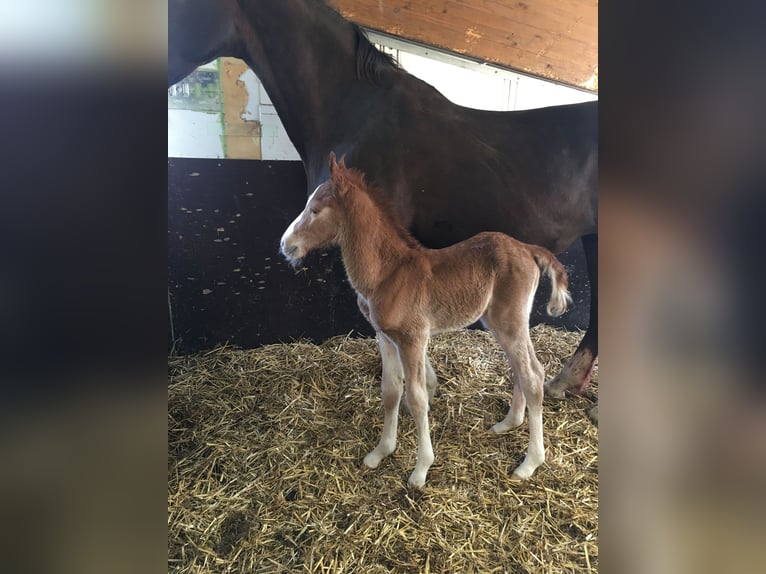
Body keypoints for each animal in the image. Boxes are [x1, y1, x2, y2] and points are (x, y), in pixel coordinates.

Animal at [280, 155, 568, 488]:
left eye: (314, 210)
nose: (285, 244)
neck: (387, 273)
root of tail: (528, 248)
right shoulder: (385, 337)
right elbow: (391, 391)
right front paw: (380, 452)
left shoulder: (413, 338)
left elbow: (417, 399)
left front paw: (420, 470)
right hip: (498, 323)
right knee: (520, 369)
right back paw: (508, 423)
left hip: (510, 321)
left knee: (533, 375)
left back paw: (529, 463)